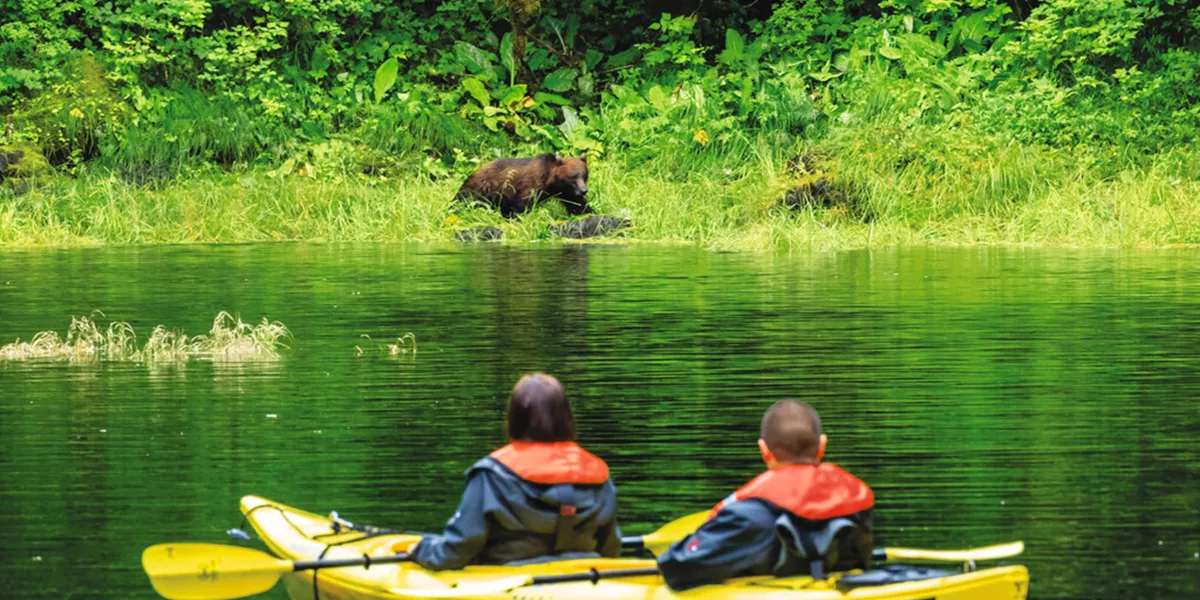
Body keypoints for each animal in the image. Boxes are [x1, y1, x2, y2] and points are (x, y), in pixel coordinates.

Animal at [454, 153, 591, 218]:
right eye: (573, 176)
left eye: (584, 175)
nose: (584, 190)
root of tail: (475, 170)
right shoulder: (531, 186)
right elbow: (522, 205)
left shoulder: (564, 191)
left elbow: (576, 203)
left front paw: (587, 212)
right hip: (482, 188)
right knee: (463, 199)